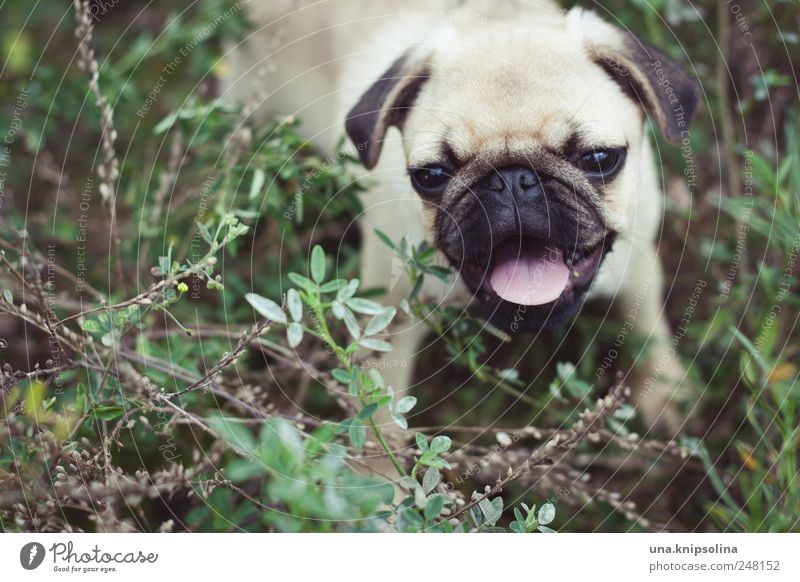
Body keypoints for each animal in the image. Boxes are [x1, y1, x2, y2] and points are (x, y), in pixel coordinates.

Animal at [225, 0, 700, 466]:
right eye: (432, 175)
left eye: (599, 158)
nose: (513, 181)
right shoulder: (387, 324)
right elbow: (379, 419)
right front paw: (385, 480)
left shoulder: (636, 262)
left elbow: (646, 327)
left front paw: (666, 391)